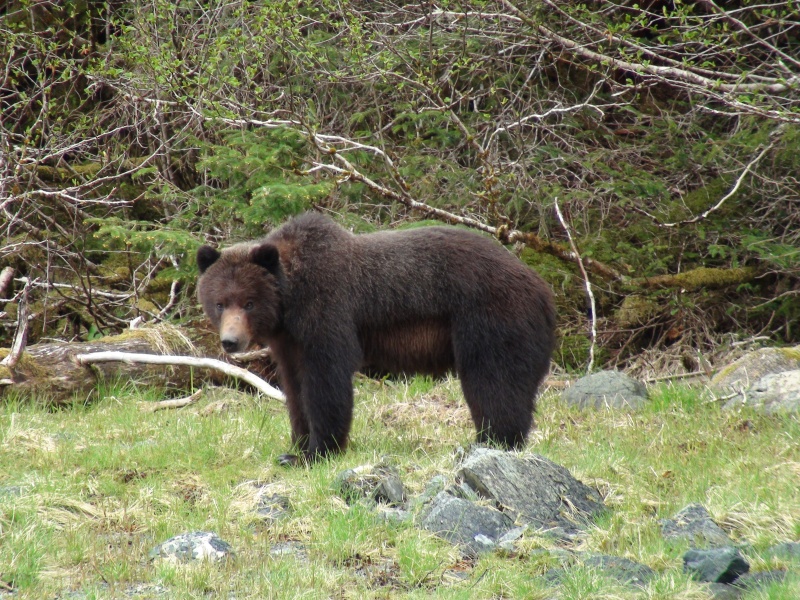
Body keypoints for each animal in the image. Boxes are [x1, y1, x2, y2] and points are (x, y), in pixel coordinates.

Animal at [196, 212, 556, 465]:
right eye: (220, 302)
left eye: (249, 302)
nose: (230, 341)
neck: (290, 304)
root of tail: (542, 288)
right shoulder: (289, 342)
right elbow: (295, 388)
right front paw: (294, 446)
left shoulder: (327, 313)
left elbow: (327, 382)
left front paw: (317, 452)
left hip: (491, 319)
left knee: (495, 382)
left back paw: (494, 441)